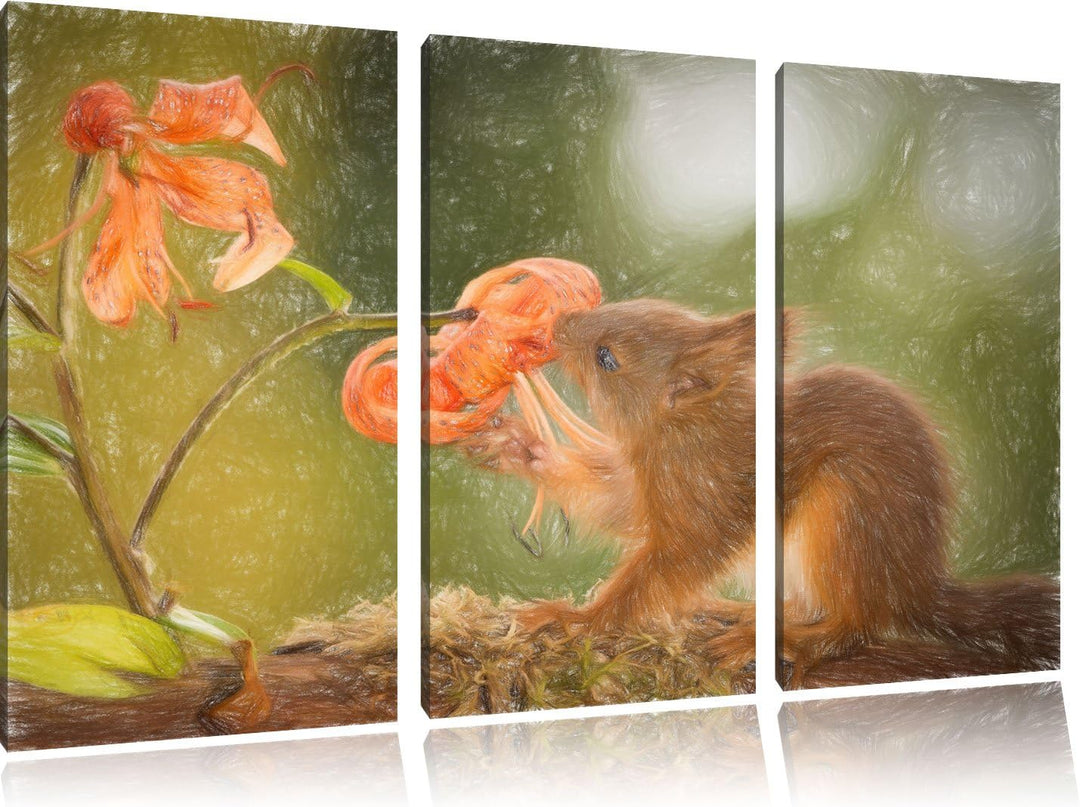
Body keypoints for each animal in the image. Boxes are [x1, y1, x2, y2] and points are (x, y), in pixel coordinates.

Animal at [466, 299, 1060, 685]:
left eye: (606, 357)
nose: (559, 323)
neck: (685, 429)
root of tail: (913, 587)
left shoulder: (708, 496)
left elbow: (668, 564)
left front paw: (575, 620)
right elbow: (619, 509)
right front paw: (521, 448)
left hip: (846, 515)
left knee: (855, 626)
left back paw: (787, 639)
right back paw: (741, 615)